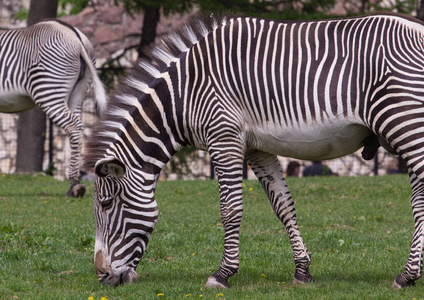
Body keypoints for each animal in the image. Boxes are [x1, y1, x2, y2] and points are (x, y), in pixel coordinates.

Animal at [0, 18, 106, 197]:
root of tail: (74, 35)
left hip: (49, 91)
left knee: (74, 126)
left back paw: (74, 185)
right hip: (79, 92)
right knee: (77, 128)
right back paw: (75, 183)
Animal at [84, 12, 424, 290]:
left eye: (105, 204)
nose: (101, 275)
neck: (183, 94)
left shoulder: (224, 139)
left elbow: (230, 209)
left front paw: (222, 274)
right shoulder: (257, 149)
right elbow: (283, 206)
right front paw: (302, 271)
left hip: (405, 124)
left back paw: (406, 276)